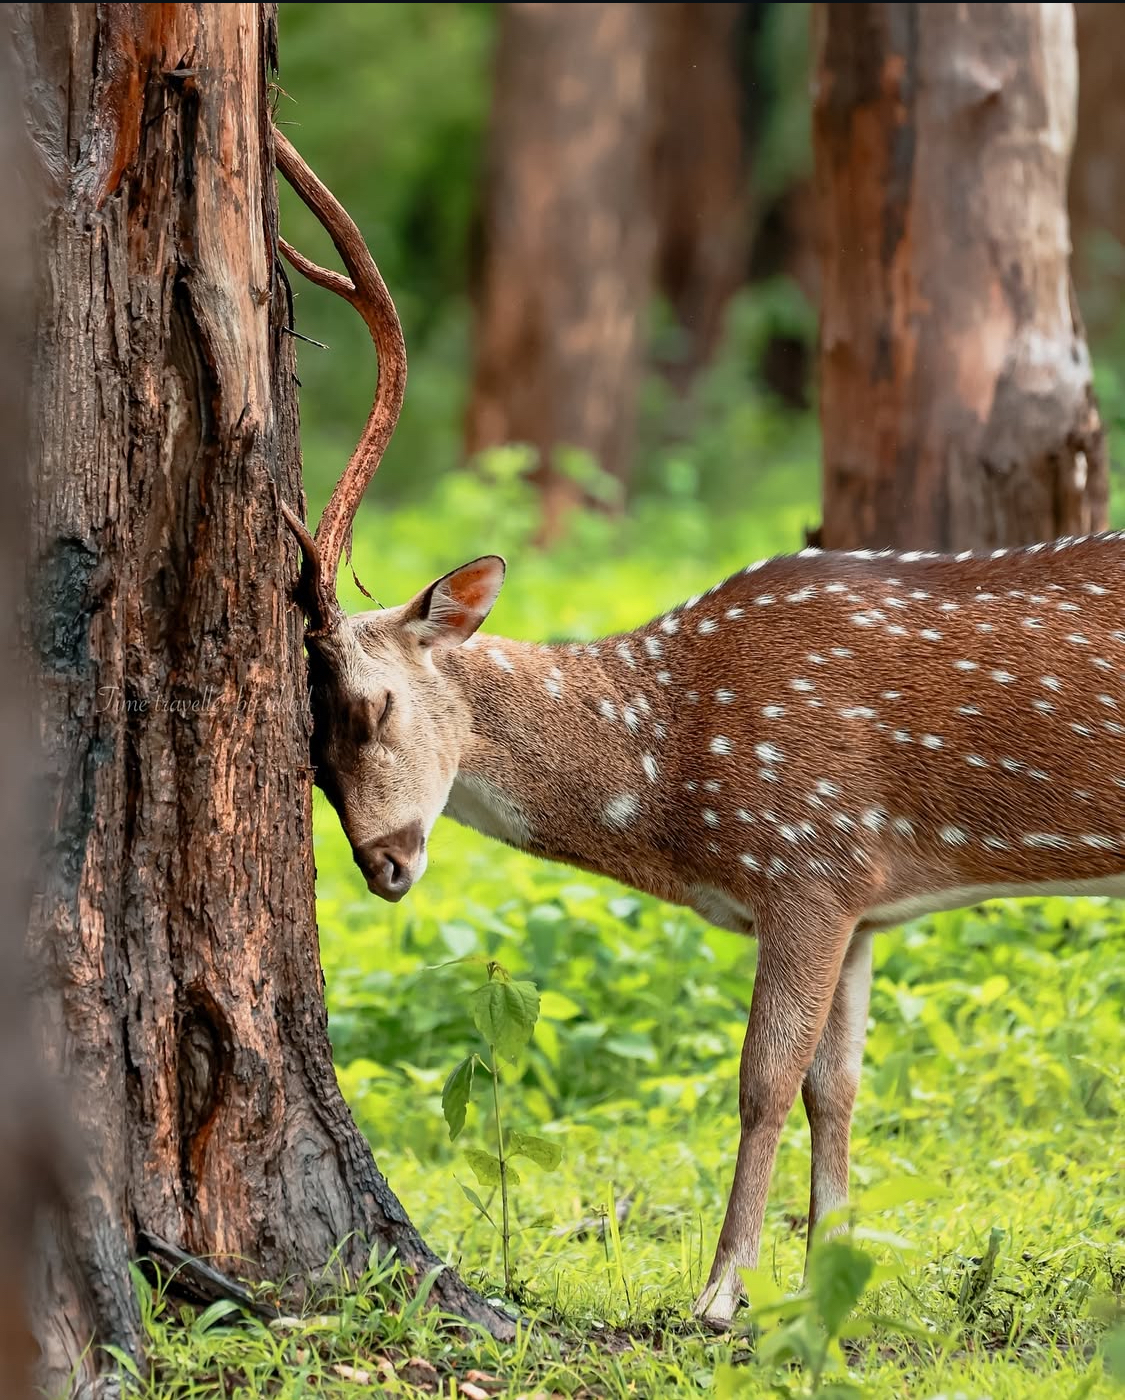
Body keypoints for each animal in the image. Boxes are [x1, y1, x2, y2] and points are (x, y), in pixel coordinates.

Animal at [274, 131, 1125, 1328]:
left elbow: (761, 1079)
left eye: (370, 703)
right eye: (308, 751)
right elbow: (836, 1085)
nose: (384, 866)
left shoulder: (809, 858)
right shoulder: (867, 895)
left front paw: (723, 1293)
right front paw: (825, 1284)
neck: (669, 768)